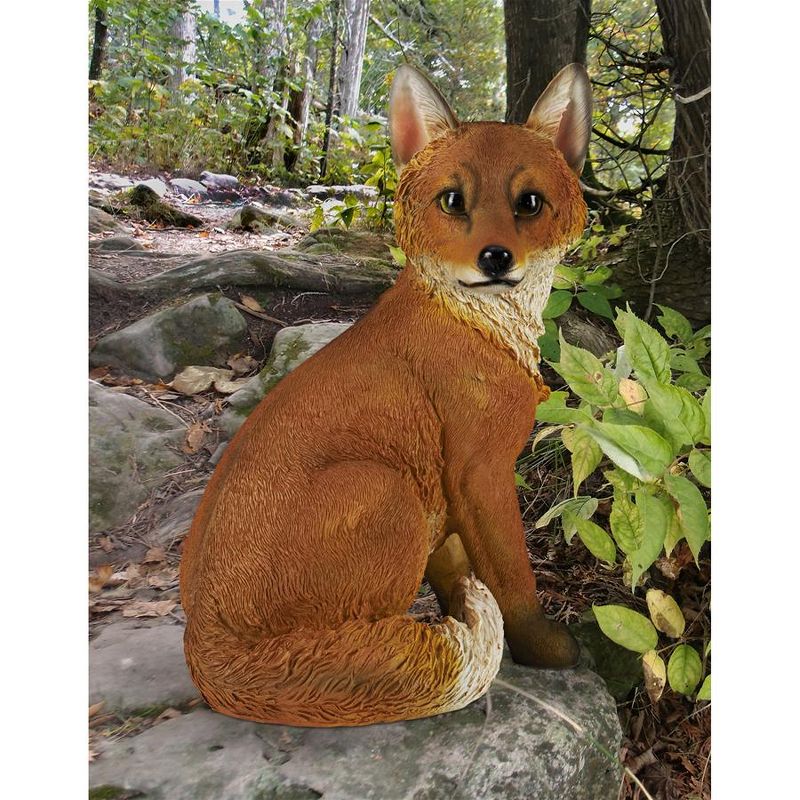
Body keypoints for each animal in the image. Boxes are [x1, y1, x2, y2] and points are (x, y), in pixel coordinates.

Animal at [180, 63, 592, 727]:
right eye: (453, 201)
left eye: (529, 202)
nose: (495, 258)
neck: (480, 325)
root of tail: (203, 643)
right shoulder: (479, 471)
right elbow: (513, 577)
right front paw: (542, 648)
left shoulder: (445, 489)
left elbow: (457, 570)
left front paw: (461, 612)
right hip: (386, 488)